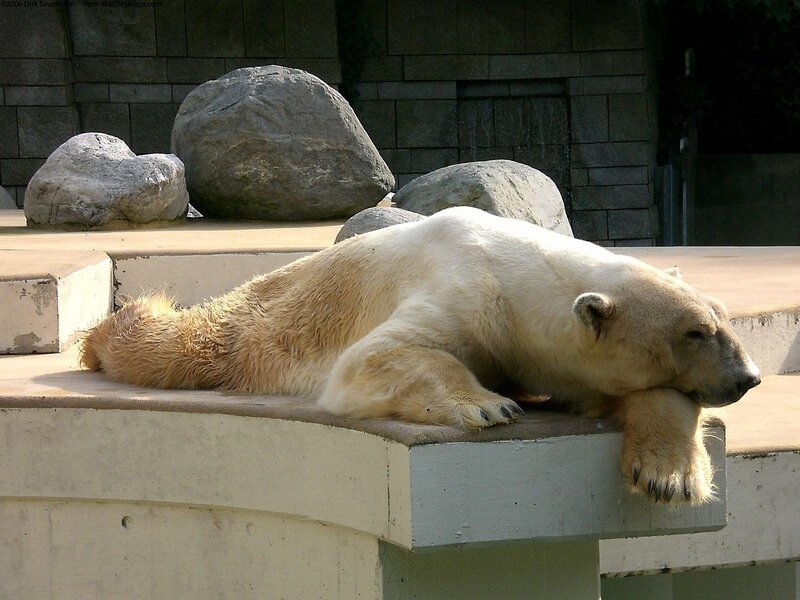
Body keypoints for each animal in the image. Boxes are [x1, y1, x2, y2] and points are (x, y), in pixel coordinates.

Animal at [81, 207, 761, 504]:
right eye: (695, 332)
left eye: (723, 320)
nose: (748, 377)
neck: (519, 275)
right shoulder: (463, 291)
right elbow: (380, 357)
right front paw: (489, 406)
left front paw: (670, 475)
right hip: (256, 323)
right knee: (176, 341)